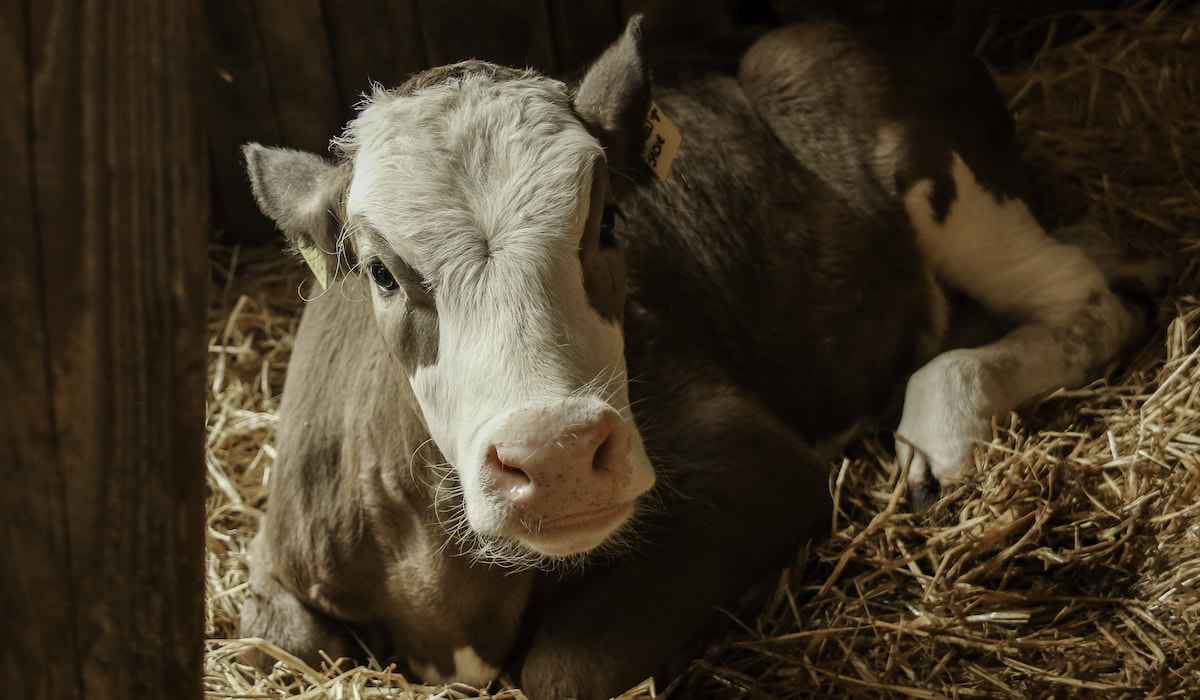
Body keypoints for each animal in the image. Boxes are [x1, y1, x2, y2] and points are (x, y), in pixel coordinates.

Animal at [239, 17, 1141, 700]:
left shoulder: (755, 460)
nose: (556, 456)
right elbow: (278, 639)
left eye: (608, 223)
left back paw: (941, 420)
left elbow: (565, 667)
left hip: (951, 189)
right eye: (381, 272)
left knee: (1089, 299)